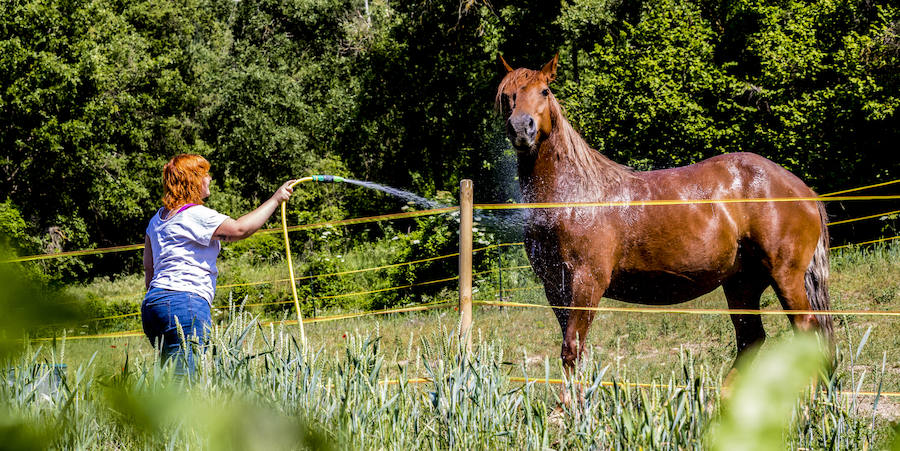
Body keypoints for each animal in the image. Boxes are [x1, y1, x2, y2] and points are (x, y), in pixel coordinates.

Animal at [496, 54, 832, 388]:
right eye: (507, 96)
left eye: (544, 91)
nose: (521, 128)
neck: (575, 196)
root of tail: (801, 188)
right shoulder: (555, 288)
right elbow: (574, 354)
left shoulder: (586, 282)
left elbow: (572, 350)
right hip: (742, 284)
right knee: (751, 339)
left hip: (785, 277)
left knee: (806, 332)